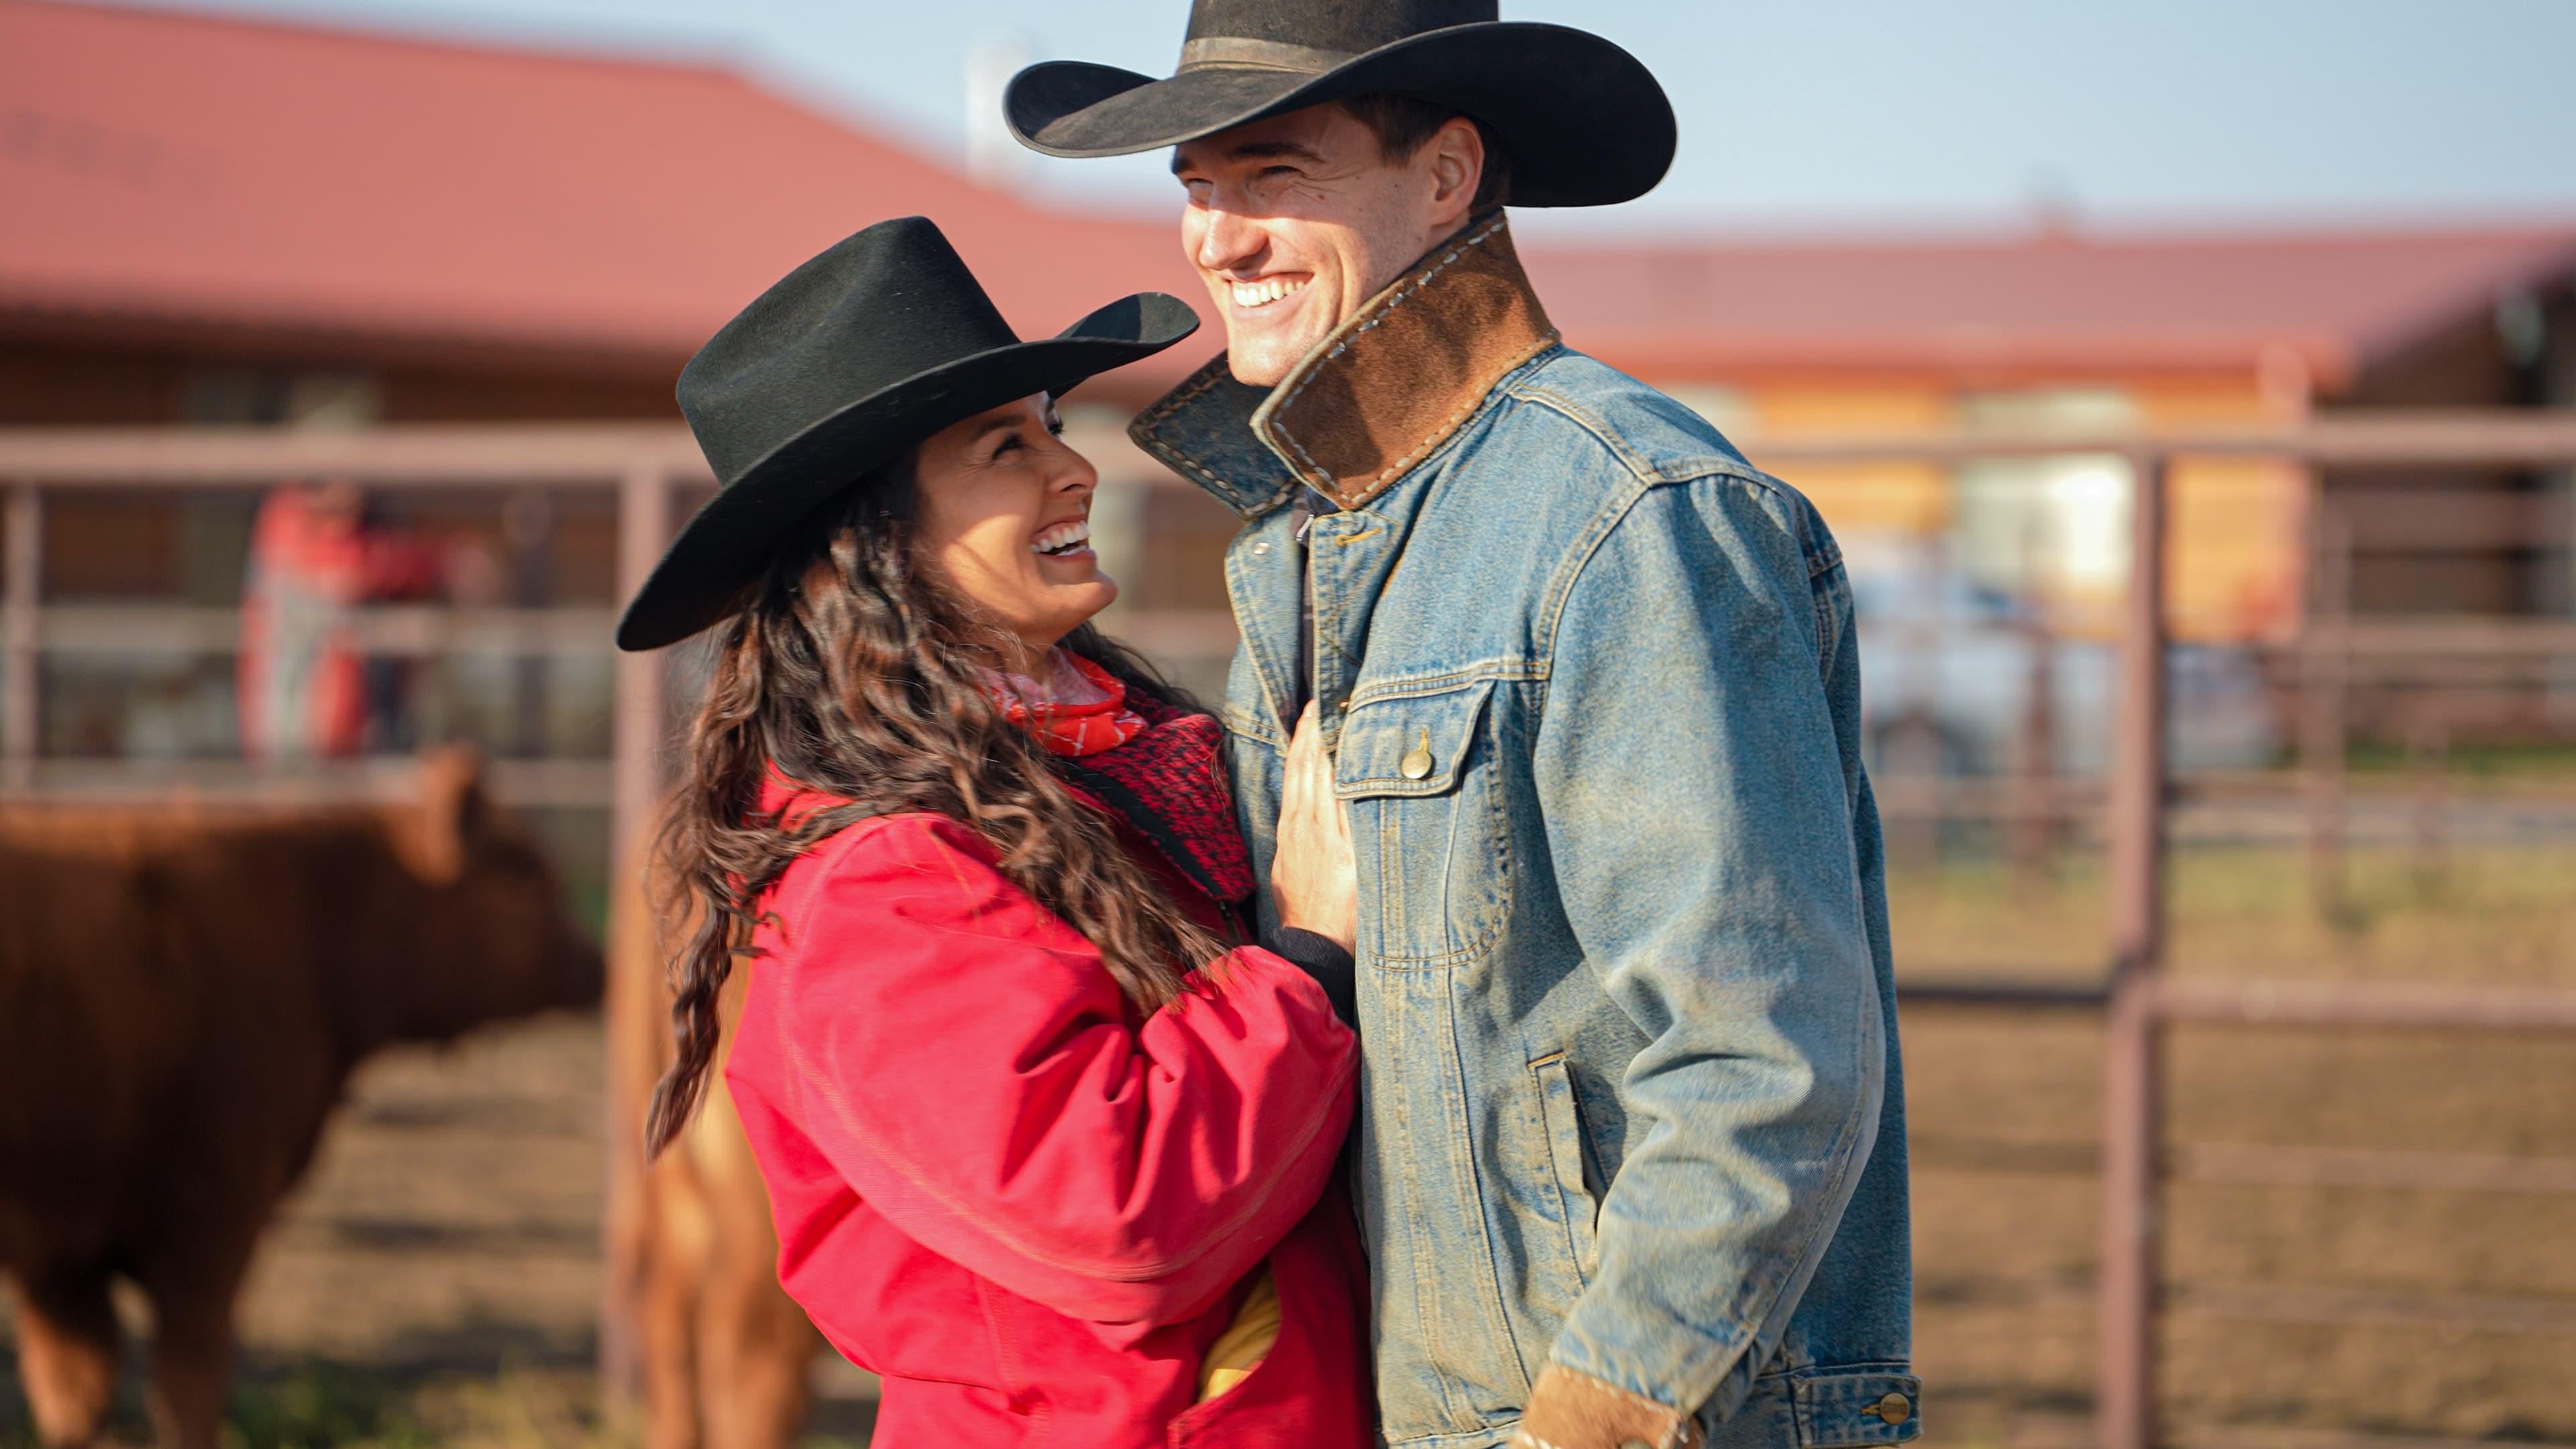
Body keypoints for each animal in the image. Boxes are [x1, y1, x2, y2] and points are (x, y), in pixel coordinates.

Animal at [0, 747, 600, 1433]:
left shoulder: (63, 1259)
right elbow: (185, 1388)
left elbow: (77, 1395)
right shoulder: (207, 1224)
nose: (599, 964)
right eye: (523, 869)